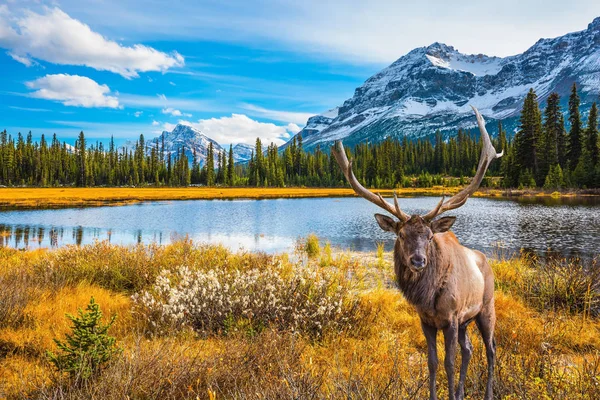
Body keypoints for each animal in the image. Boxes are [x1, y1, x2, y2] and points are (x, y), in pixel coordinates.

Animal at [332, 107, 502, 400]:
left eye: (430, 236)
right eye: (401, 235)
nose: (418, 260)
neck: (429, 296)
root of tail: (486, 262)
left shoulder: (452, 318)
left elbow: (449, 362)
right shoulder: (426, 320)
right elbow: (432, 362)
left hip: (485, 308)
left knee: (491, 349)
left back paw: (488, 393)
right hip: (467, 321)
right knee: (470, 350)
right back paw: (461, 392)